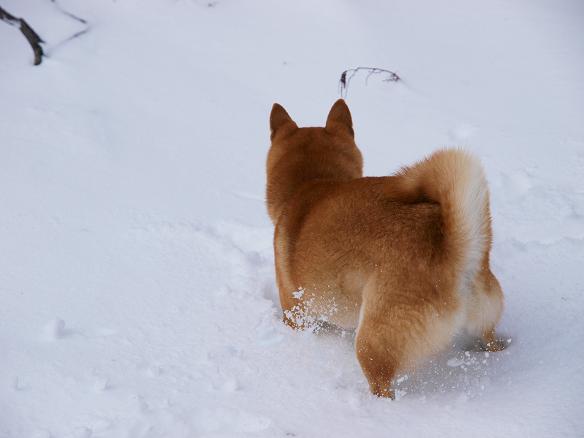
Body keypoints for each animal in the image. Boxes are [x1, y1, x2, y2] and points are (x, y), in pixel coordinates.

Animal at [266, 100, 506, 400]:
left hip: (374, 342)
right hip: (485, 317)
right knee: (491, 340)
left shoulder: (295, 313)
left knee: (382, 384)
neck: (312, 183)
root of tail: (451, 250)